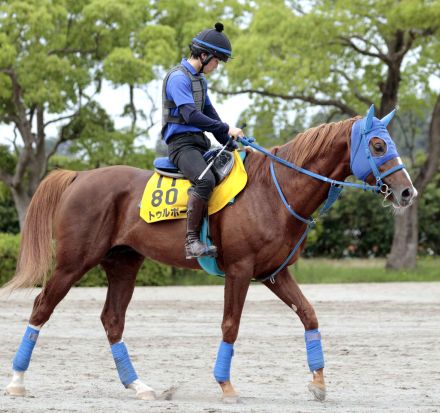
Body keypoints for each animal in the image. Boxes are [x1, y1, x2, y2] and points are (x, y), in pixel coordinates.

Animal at [3, 106, 416, 402]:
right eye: (378, 146)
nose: (407, 192)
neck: (274, 189)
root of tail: (80, 176)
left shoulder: (274, 274)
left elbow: (309, 315)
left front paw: (317, 382)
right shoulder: (239, 270)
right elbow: (231, 325)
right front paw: (226, 385)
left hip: (123, 263)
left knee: (112, 320)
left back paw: (139, 386)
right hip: (73, 263)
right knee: (42, 307)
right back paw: (18, 381)